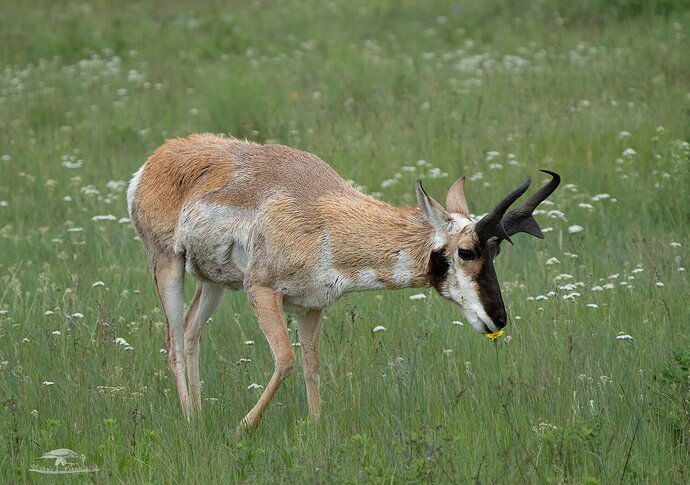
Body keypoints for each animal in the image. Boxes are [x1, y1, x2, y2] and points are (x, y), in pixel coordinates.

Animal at [127, 133, 560, 434]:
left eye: (496, 252)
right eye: (467, 251)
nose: (499, 319)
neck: (325, 214)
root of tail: (156, 159)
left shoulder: (310, 307)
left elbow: (312, 367)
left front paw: (317, 429)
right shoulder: (262, 291)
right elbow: (287, 360)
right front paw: (241, 430)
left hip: (213, 283)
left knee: (190, 332)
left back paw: (198, 417)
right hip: (167, 265)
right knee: (173, 341)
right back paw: (190, 422)